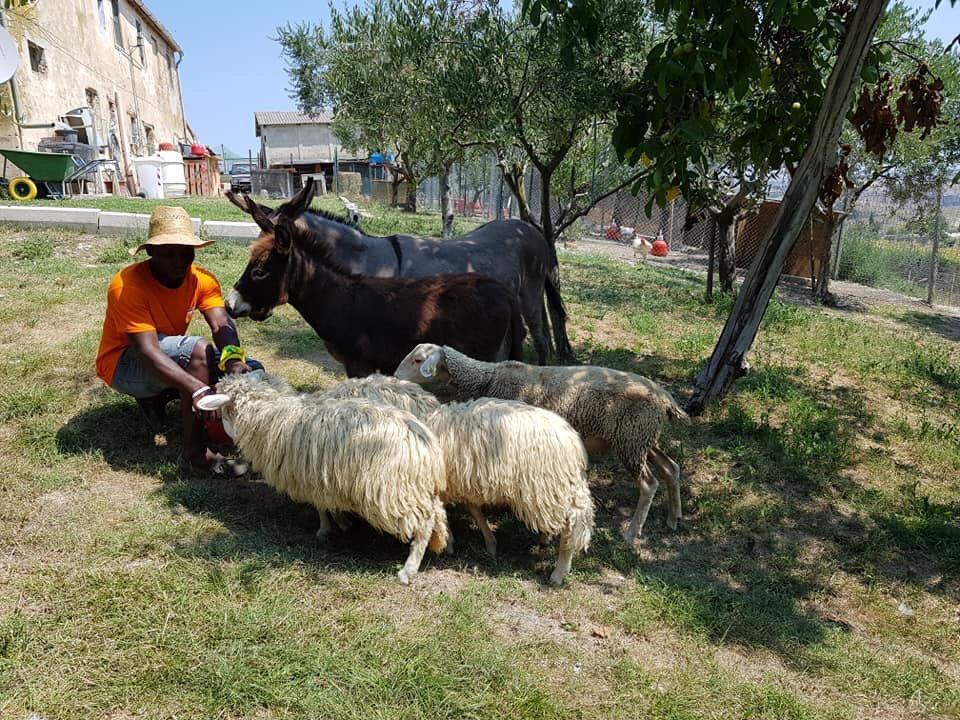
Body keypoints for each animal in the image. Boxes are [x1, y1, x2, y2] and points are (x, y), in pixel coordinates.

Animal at [208, 372, 448, 584]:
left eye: (222, 412)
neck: (273, 415)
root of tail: (425, 442)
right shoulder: (328, 480)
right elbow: (330, 505)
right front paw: (342, 522)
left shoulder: (312, 479)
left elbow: (321, 507)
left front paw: (325, 530)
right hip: (417, 486)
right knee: (437, 512)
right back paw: (445, 543)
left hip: (394, 491)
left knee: (424, 523)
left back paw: (409, 569)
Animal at [394, 346, 688, 544]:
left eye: (418, 360)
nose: (394, 376)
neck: (487, 378)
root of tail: (665, 398)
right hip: (644, 438)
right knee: (671, 468)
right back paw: (674, 518)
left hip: (632, 439)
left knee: (649, 483)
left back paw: (632, 532)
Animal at [428, 400, 592, 584]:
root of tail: (573, 442)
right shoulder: (462, 483)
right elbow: (474, 510)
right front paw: (490, 542)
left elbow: (443, 514)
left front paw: (448, 543)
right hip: (559, 488)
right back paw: (547, 540)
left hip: (544, 487)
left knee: (572, 524)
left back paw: (559, 572)